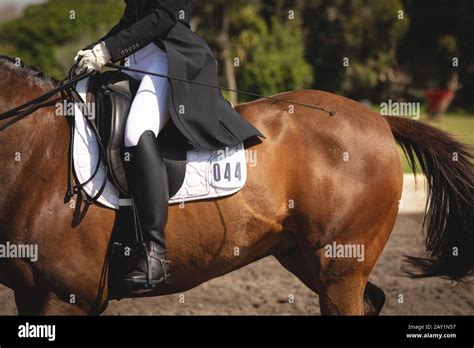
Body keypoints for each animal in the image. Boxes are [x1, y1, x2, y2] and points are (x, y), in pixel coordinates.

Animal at [0, 57, 472, 316]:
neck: (37, 148)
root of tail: (379, 119)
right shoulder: (31, 294)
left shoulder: (66, 297)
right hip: (305, 258)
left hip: (340, 267)